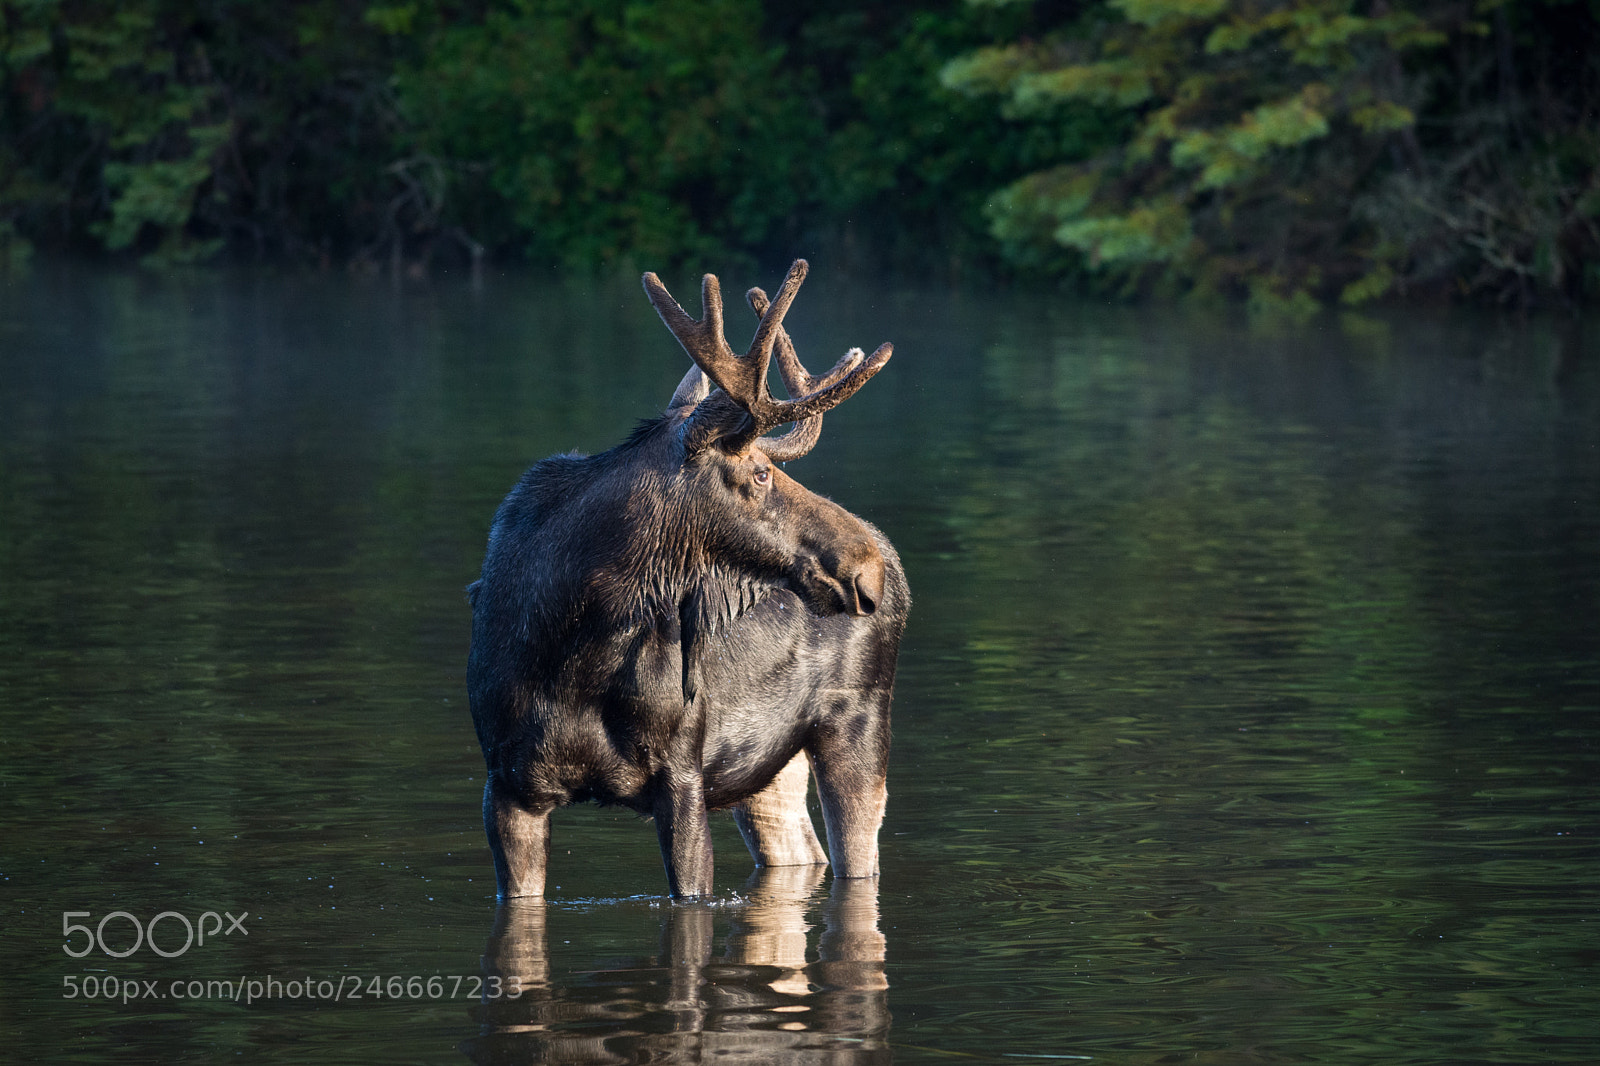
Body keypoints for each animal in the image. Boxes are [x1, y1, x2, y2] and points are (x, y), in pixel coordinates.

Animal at [466, 259, 907, 900]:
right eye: (759, 473)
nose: (867, 567)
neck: (570, 644)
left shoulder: (682, 772)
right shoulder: (507, 786)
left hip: (859, 727)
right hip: (769, 768)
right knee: (801, 849)